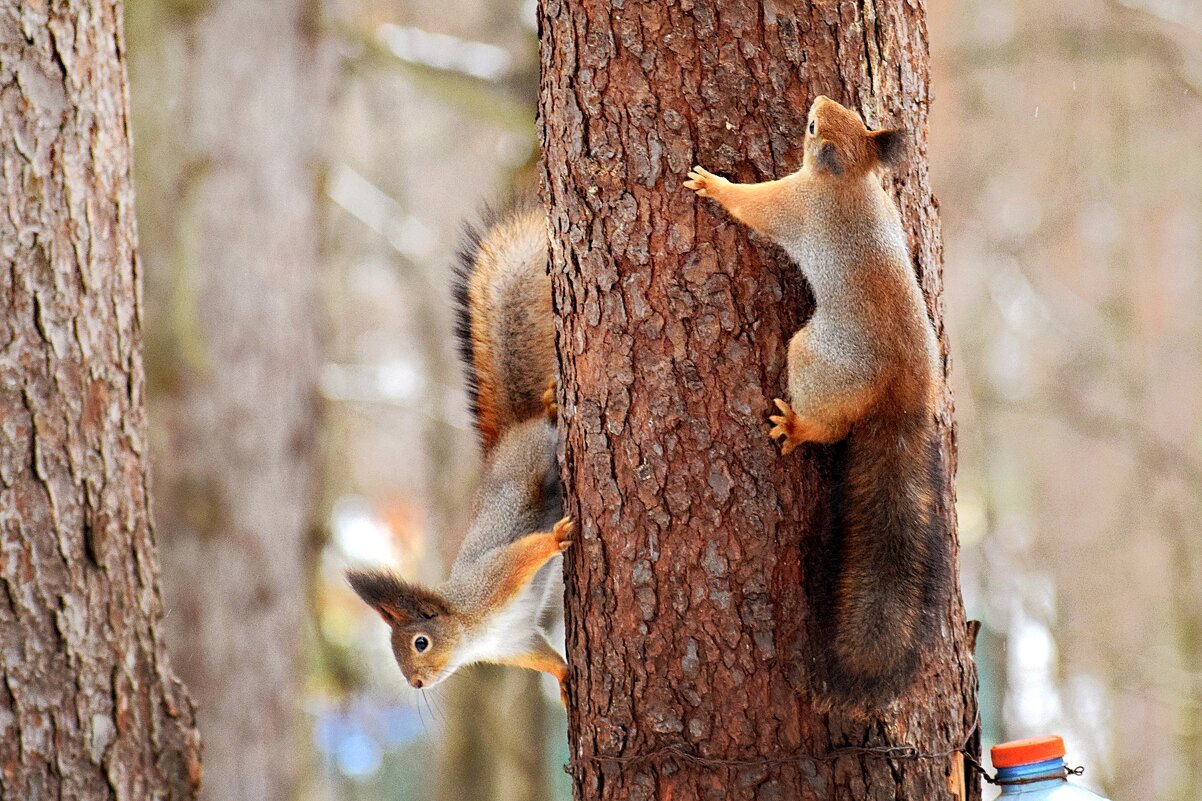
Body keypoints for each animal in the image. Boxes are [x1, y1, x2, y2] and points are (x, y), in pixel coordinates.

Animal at [346, 203, 574, 702]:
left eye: (420, 642)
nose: (415, 683)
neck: (474, 634)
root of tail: (505, 438)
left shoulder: (491, 584)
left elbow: (522, 555)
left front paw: (555, 538)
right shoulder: (517, 642)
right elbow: (545, 659)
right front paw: (567, 682)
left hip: (533, 459)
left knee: (545, 433)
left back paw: (551, 405)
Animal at [687, 95, 947, 707]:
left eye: (811, 128)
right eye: (852, 113)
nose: (819, 99)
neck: (850, 179)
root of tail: (905, 395)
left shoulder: (795, 204)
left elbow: (755, 206)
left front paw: (712, 183)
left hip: (813, 356)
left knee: (829, 423)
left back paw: (797, 427)